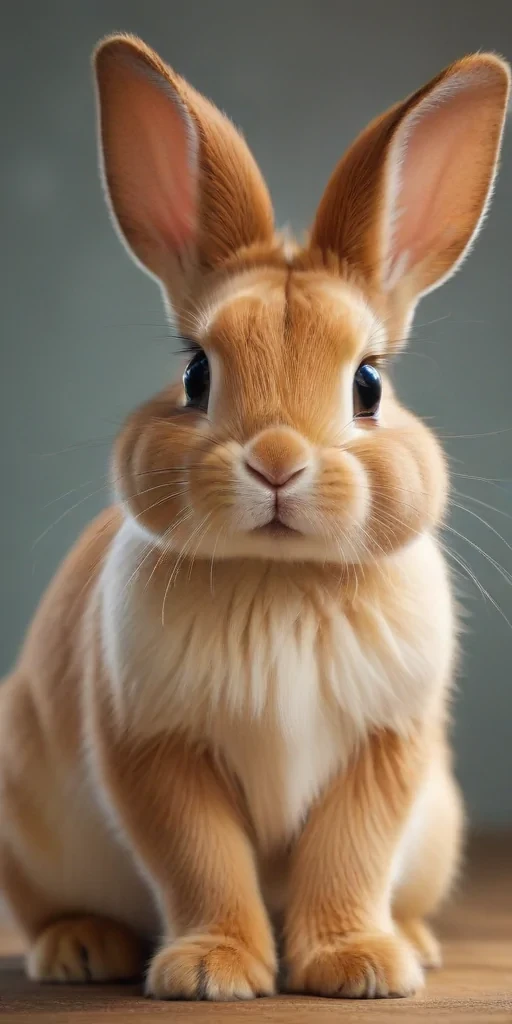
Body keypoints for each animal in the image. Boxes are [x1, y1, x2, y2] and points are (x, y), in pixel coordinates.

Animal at [0, 34, 509, 1002]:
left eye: (369, 384)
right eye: (196, 374)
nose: (276, 461)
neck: (280, 579)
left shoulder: (384, 752)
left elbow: (347, 857)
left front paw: (357, 966)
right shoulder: (152, 750)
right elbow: (202, 859)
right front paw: (213, 971)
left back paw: (411, 942)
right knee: (50, 907)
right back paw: (81, 948)